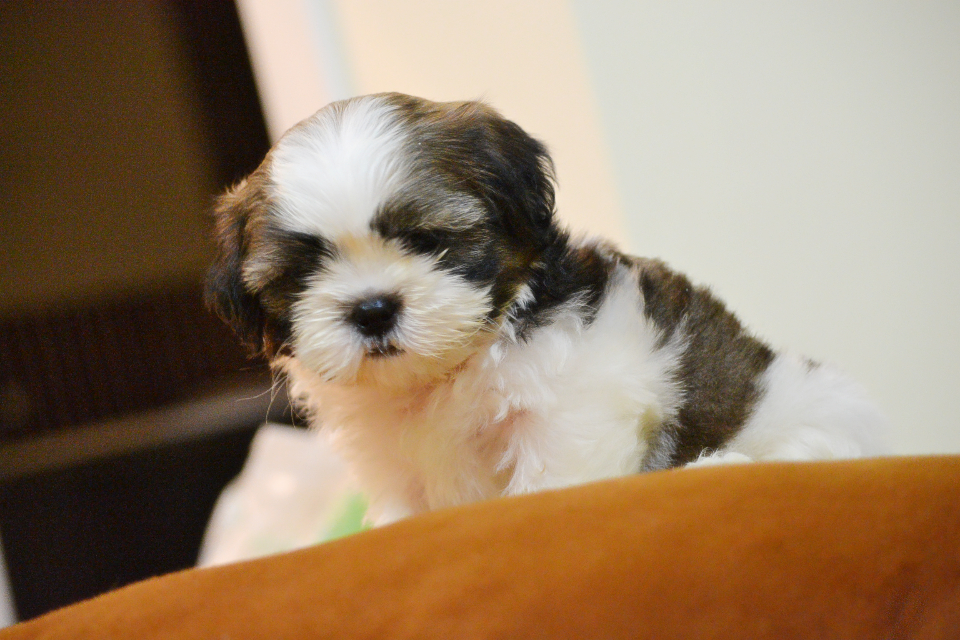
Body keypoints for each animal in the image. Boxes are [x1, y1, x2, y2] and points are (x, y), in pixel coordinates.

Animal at [207, 93, 886, 525]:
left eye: (426, 239)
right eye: (304, 271)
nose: (372, 309)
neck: (444, 376)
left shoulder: (573, 414)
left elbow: (553, 486)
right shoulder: (392, 463)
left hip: (822, 417)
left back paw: (716, 466)